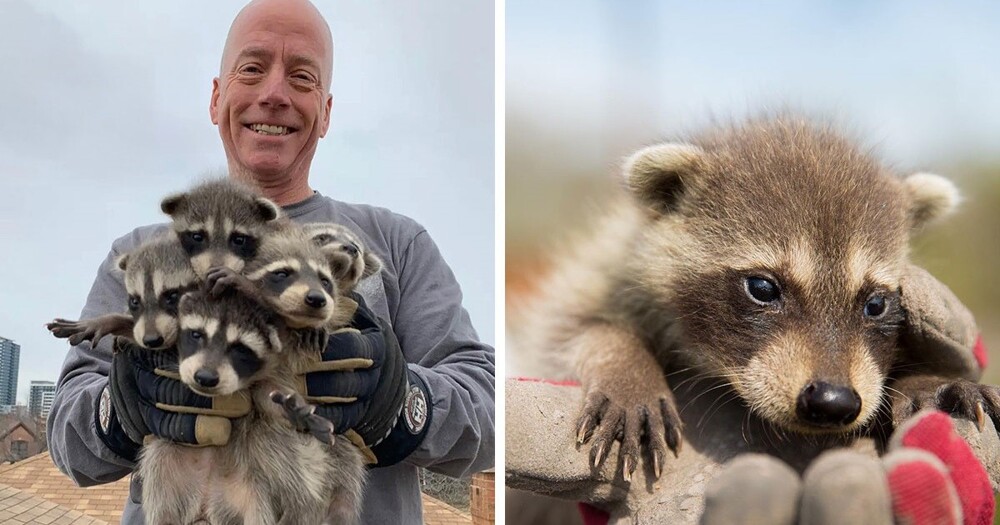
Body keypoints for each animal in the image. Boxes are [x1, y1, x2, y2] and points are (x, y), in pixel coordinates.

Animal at [145, 290, 368, 524]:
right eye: (196, 336)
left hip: (252, 493)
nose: (205, 377)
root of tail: (206, 502)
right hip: (170, 465)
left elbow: (268, 393)